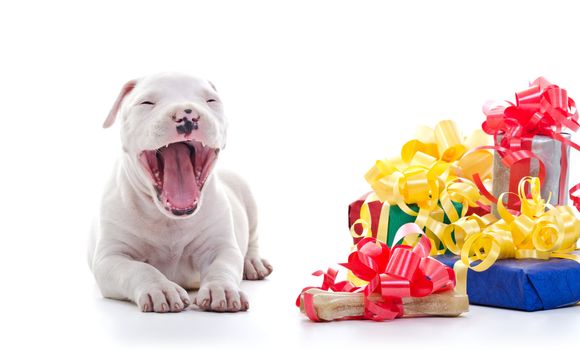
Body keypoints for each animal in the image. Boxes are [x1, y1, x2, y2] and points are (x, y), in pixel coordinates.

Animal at [88, 72, 272, 314]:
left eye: (211, 100)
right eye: (146, 103)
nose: (188, 113)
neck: (168, 219)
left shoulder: (221, 246)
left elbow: (222, 265)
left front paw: (220, 289)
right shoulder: (110, 258)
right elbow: (139, 269)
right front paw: (161, 289)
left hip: (247, 197)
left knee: (253, 237)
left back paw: (253, 263)